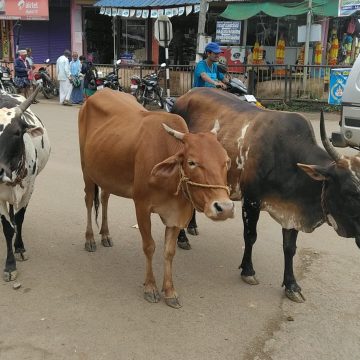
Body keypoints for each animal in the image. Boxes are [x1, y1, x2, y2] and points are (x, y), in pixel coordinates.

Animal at [0, 87, 50, 282]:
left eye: (16, 132)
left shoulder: (29, 189)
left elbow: (20, 218)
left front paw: (19, 247)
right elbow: (7, 228)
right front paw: (10, 265)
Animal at [172, 87, 360, 300]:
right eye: (350, 191)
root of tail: (185, 95)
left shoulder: (292, 209)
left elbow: (289, 248)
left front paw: (291, 285)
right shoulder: (251, 201)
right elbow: (250, 236)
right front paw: (248, 270)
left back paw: (192, 226)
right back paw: (182, 238)